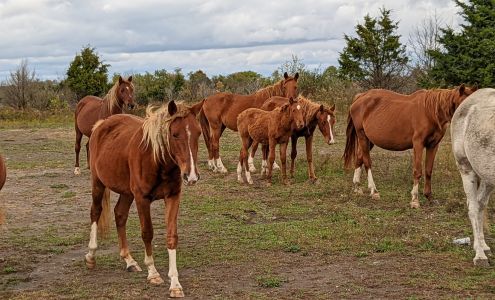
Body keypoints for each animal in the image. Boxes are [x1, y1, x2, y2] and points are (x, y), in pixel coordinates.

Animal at [84, 99, 204, 298]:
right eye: (174, 134)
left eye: (198, 133)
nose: (191, 176)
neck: (157, 160)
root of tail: (101, 124)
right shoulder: (142, 199)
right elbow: (147, 233)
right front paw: (153, 273)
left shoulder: (173, 197)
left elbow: (172, 236)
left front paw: (175, 283)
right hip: (98, 182)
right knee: (95, 212)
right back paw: (91, 256)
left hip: (126, 192)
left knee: (120, 215)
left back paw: (129, 261)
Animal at [342, 85, 478, 209]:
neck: (430, 112)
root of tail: (360, 97)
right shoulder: (418, 144)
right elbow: (417, 171)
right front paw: (414, 200)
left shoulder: (433, 145)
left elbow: (428, 171)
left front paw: (429, 197)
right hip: (362, 136)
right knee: (367, 162)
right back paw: (374, 191)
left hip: (369, 140)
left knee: (359, 158)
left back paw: (357, 188)